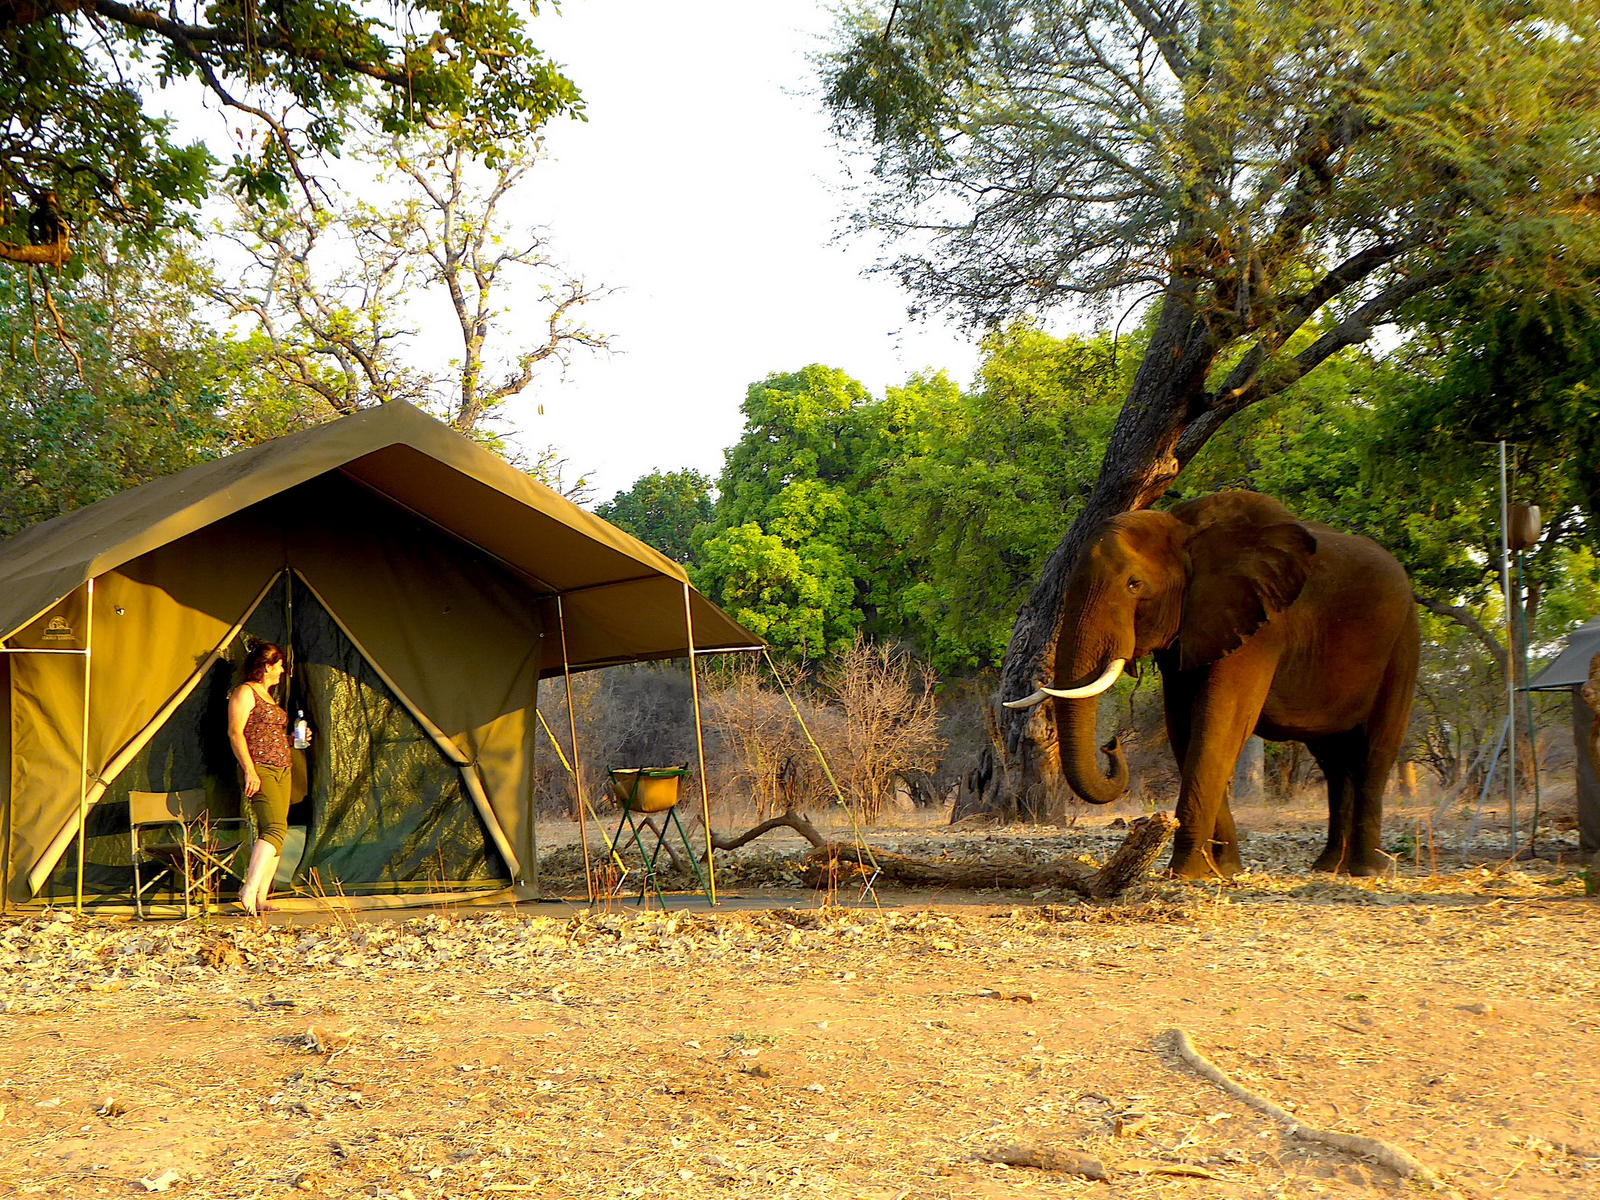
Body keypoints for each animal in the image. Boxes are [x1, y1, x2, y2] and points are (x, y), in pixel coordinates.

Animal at [1006, 491, 1419, 878]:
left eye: (1135, 584)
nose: (1110, 744)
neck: (1187, 533)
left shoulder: (1260, 626)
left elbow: (1219, 724)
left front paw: (1185, 873)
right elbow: (1184, 730)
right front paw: (1223, 870)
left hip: (1403, 642)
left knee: (1374, 752)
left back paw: (1365, 870)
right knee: (1333, 762)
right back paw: (1329, 867)